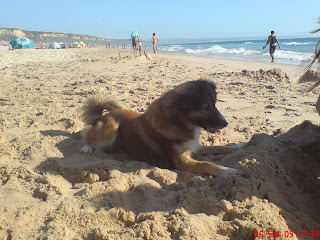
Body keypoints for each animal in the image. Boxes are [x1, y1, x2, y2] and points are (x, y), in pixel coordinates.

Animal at [80, 78, 242, 177]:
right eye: (206, 107)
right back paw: (86, 147)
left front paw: (239, 146)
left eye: (215, 104)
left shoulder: (194, 146)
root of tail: (101, 116)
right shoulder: (181, 161)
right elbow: (207, 164)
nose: (225, 123)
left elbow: (220, 148)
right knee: (86, 133)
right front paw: (228, 171)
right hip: (111, 128)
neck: (177, 121)